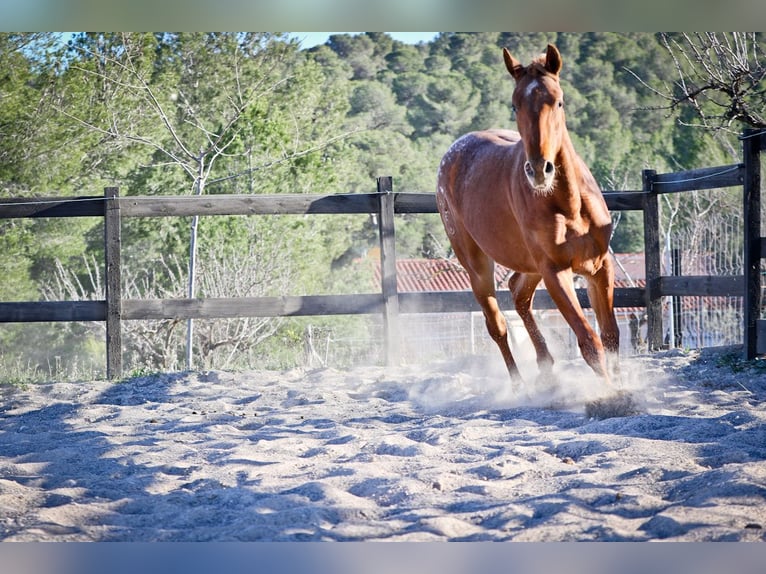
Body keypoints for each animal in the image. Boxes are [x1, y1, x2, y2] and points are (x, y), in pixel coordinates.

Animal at [436, 45, 620, 388]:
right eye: (515, 104)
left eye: (558, 101)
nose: (538, 169)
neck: (570, 205)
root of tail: (452, 154)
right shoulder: (555, 272)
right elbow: (590, 342)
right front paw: (612, 395)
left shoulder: (599, 266)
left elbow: (611, 336)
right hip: (478, 265)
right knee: (497, 324)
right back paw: (519, 384)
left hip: (530, 265)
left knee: (518, 292)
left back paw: (546, 366)